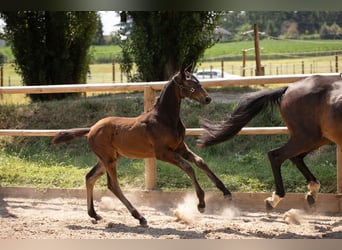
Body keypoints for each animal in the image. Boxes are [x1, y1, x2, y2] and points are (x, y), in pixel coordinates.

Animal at [51, 65, 232, 227]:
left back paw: (94, 214)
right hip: (108, 159)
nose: (207, 99)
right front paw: (201, 204)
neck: (164, 119)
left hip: (109, 158)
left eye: (197, 80)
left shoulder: (180, 147)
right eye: (190, 83)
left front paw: (226, 192)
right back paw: (140, 217)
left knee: (90, 177)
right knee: (113, 185)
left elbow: (200, 162)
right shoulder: (163, 153)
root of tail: (91, 129)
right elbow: (189, 168)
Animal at [196, 73, 342, 211]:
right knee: (276, 155)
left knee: (294, 157)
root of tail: (289, 88)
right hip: (307, 138)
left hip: (318, 138)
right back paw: (275, 199)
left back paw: (311, 193)